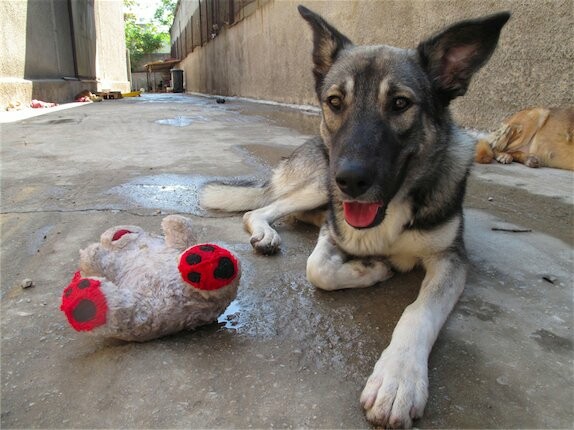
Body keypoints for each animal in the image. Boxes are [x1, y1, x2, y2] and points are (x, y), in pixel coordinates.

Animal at [200, 5, 510, 426]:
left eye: (400, 103)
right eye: (335, 101)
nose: (349, 180)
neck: (393, 206)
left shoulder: (452, 258)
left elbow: (419, 311)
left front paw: (398, 379)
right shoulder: (334, 230)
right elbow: (317, 269)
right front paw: (371, 269)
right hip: (317, 184)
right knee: (260, 208)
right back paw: (265, 233)